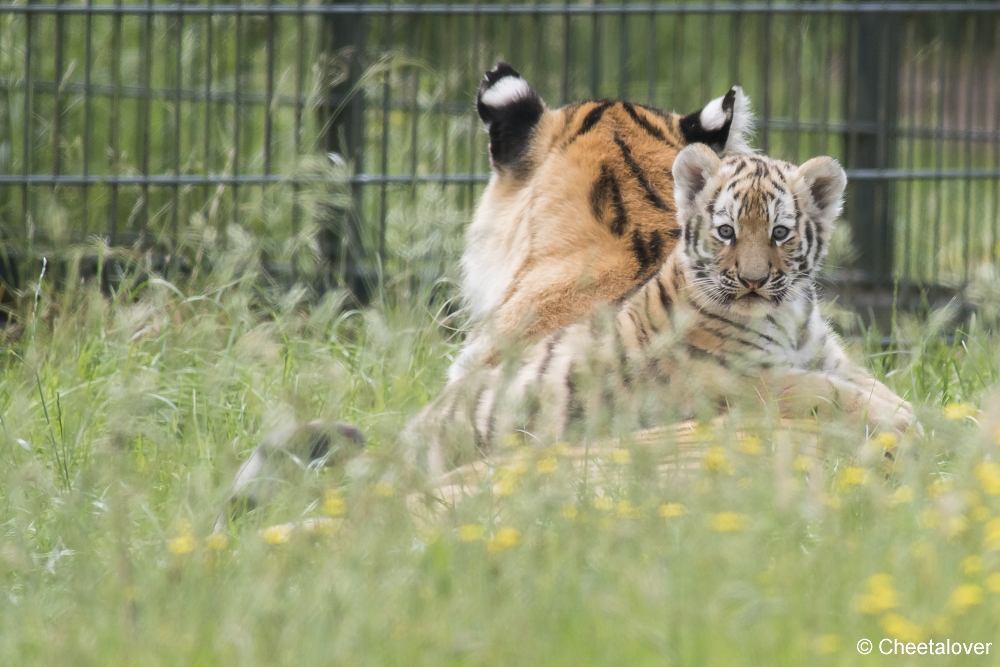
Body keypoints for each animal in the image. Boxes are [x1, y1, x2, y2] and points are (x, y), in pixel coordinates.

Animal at [408, 144, 920, 478]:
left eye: (779, 233)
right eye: (727, 231)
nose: (753, 281)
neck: (789, 315)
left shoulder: (825, 356)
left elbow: (875, 385)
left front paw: (913, 414)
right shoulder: (745, 379)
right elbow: (826, 393)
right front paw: (899, 423)